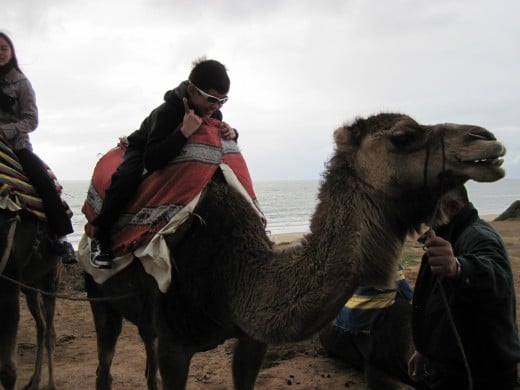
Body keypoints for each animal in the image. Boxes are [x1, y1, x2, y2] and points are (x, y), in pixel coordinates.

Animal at [0, 212, 60, 390]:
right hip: (30, 287)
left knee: (49, 332)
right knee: (42, 327)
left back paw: (51, 384)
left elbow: (8, 370)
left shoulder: (9, 284)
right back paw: (34, 380)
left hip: (50, 280)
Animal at [84, 113, 504, 390]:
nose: (485, 139)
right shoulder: (175, 344)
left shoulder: (252, 339)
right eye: (402, 136)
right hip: (98, 297)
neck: (229, 273)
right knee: (105, 362)